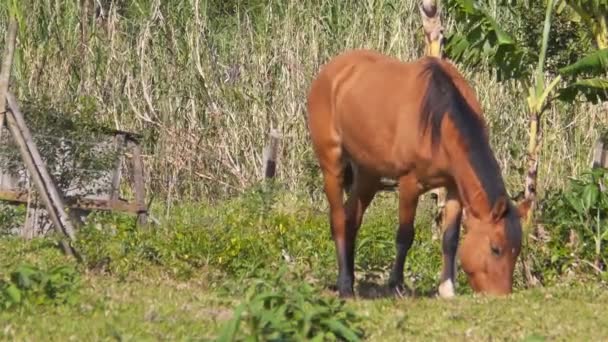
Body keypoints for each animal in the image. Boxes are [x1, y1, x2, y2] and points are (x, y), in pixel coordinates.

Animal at [306, 49, 528, 298]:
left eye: (517, 250)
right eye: (496, 248)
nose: (501, 294)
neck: (439, 118)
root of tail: (331, 71)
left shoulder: (454, 186)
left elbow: (450, 239)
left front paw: (447, 288)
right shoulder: (409, 184)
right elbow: (405, 235)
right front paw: (396, 284)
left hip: (367, 174)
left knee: (351, 219)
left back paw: (350, 280)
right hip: (332, 163)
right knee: (338, 220)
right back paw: (345, 286)